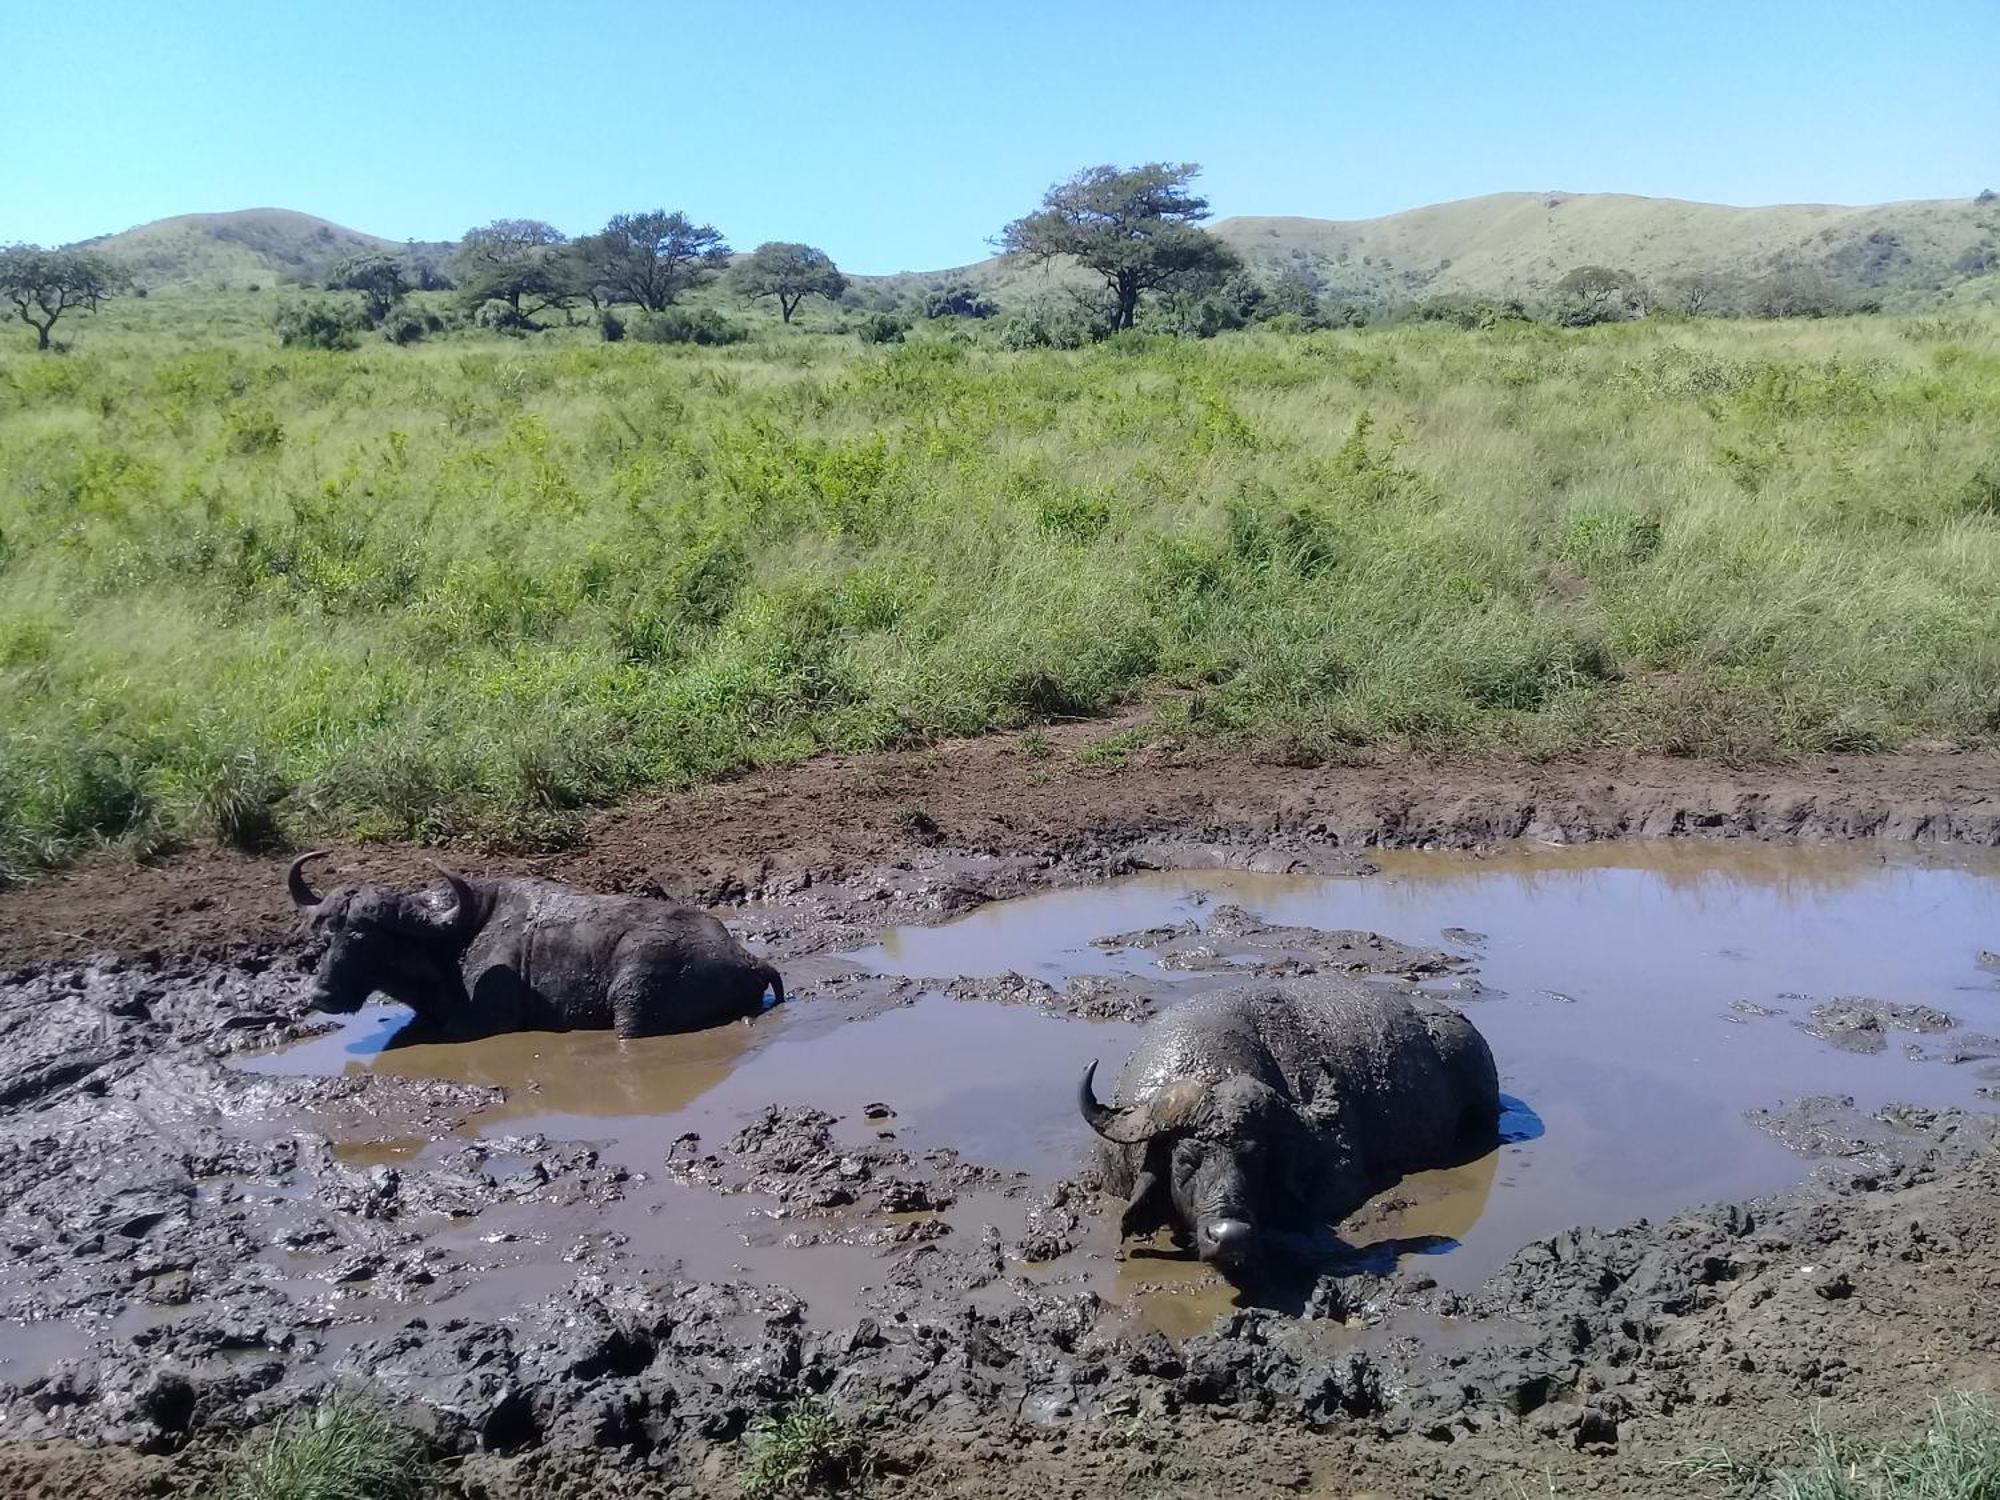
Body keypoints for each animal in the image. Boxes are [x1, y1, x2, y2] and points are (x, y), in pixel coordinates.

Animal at [288, 856, 780, 1048]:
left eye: (362, 938)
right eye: (325, 936)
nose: (320, 996)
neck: (451, 940)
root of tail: (747, 958)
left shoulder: (484, 1020)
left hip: (634, 999)